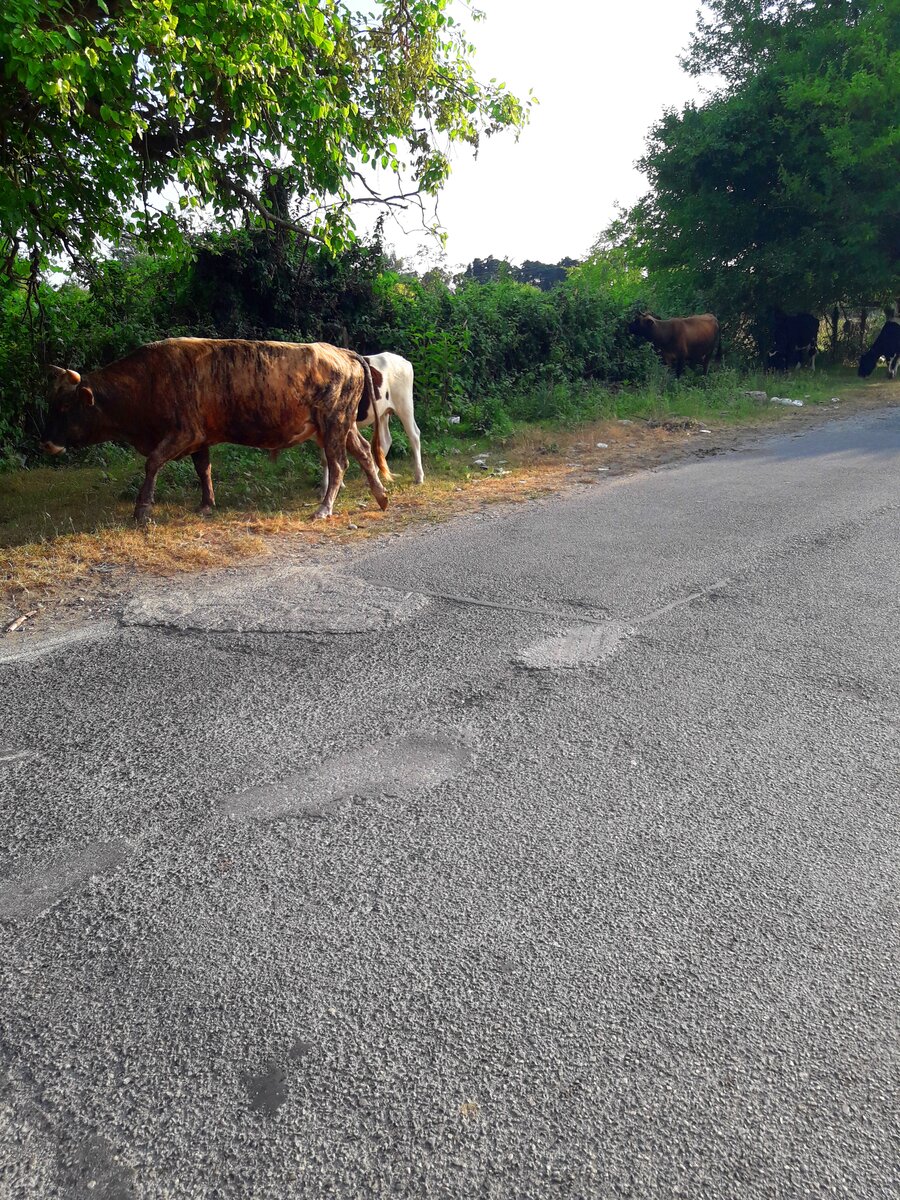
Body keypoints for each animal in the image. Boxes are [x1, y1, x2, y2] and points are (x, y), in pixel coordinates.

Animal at [41, 340, 391, 523]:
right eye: (51, 403)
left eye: (65, 406)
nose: (46, 442)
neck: (148, 380)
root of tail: (343, 352)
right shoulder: (200, 438)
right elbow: (203, 469)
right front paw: (206, 503)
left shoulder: (182, 433)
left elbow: (152, 463)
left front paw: (142, 509)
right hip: (338, 426)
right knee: (362, 452)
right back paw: (380, 496)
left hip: (333, 423)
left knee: (339, 463)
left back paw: (324, 508)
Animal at [321, 350, 427, 494]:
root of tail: (403, 361)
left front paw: (327, 488)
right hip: (382, 412)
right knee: (386, 440)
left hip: (405, 405)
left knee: (414, 435)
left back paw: (419, 476)